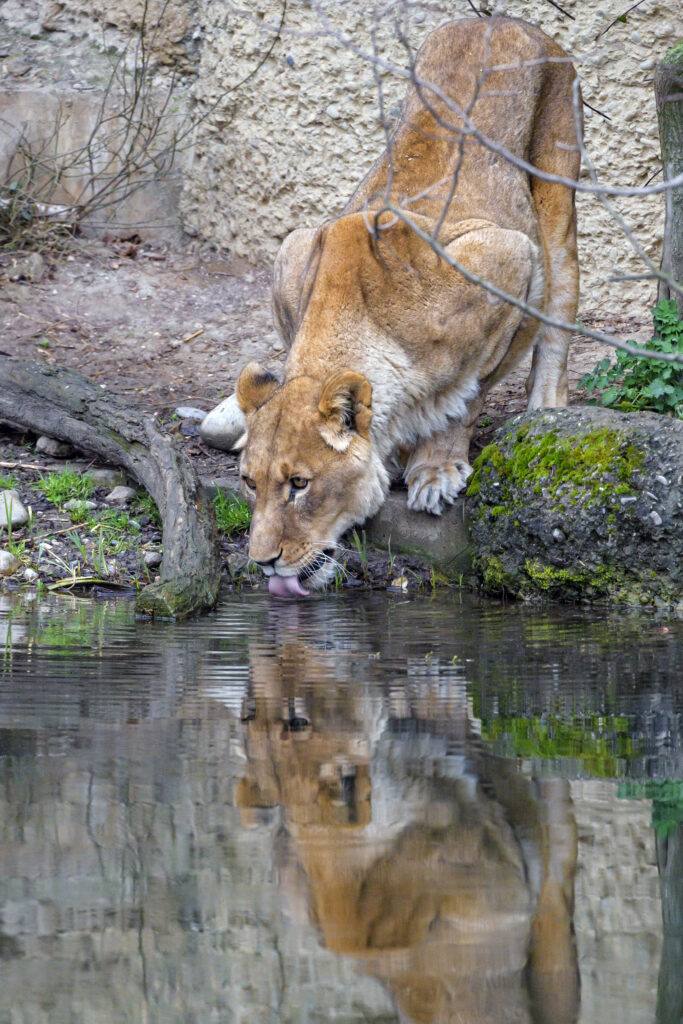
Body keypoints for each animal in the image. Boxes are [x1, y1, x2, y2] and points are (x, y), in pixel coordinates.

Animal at [232, 16, 581, 594]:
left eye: (300, 483)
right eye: (247, 483)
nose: (263, 561)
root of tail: (497, 18)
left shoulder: (508, 258)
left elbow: (463, 398)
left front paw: (435, 469)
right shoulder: (296, 254)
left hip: (554, 208)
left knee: (558, 316)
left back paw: (546, 411)